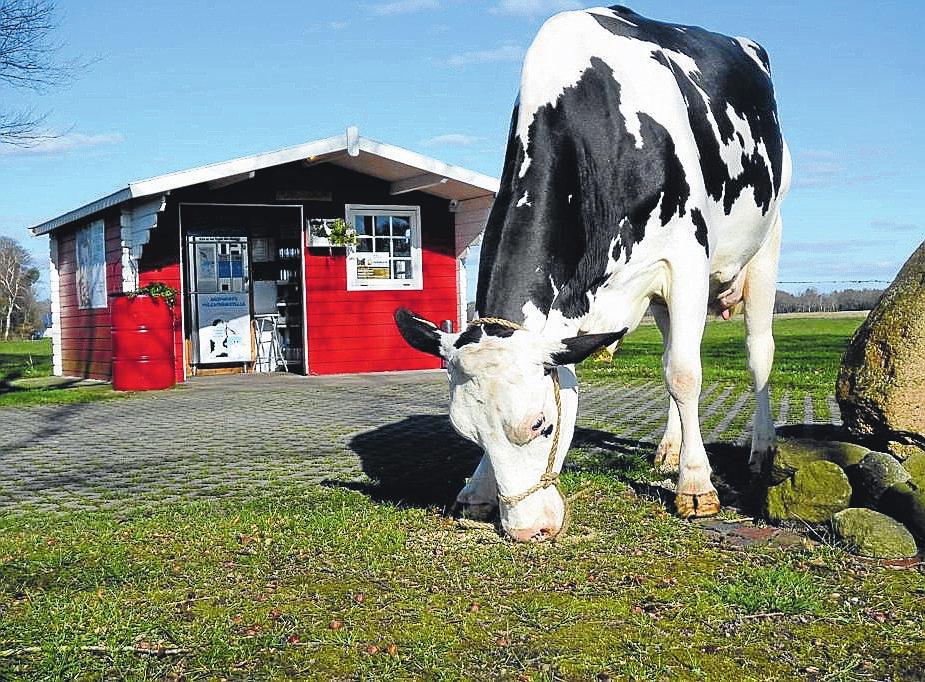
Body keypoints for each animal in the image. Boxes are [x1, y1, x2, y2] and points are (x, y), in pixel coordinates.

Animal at [394, 2, 792, 540]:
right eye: (467, 434)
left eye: (541, 423)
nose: (528, 531)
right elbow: (665, 369)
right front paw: (477, 489)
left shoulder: (685, 257)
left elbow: (686, 374)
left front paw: (696, 487)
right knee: (670, 351)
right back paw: (669, 449)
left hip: (767, 243)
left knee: (756, 352)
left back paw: (760, 449)